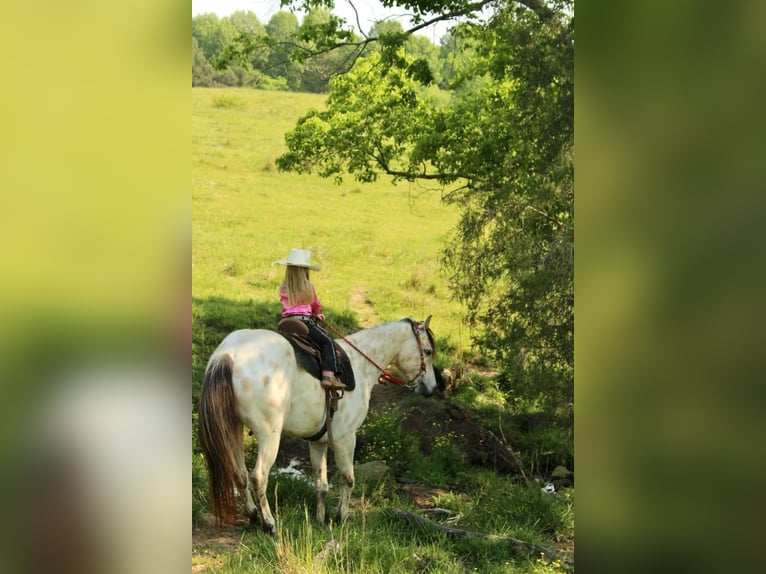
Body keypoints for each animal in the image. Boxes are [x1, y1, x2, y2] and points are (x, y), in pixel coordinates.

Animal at [198, 318, 438, 532]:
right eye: (427, 351)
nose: (432, 387)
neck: (360, 365)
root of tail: (228, 355)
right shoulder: (345, 439)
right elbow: (348, 478)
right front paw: (341, 517)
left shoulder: (318, 442)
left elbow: (321, 485)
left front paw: (321, 520)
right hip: (269, 435)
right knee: (258, 476)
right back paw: (269, 524)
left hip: (234, 430)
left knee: (239, 474)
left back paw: (253, 515)